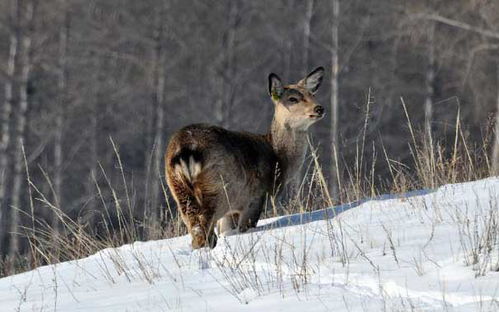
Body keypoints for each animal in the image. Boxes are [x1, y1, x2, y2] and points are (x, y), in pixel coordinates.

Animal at [166, 66, 326, 249]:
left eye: (312, 94)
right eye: (292, 99)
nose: (319, 108)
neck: (279, 160)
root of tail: (185, 150)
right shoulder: (255, 197)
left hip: (178, 189)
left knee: (195, 228)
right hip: (219, 189)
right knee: (204, 230)